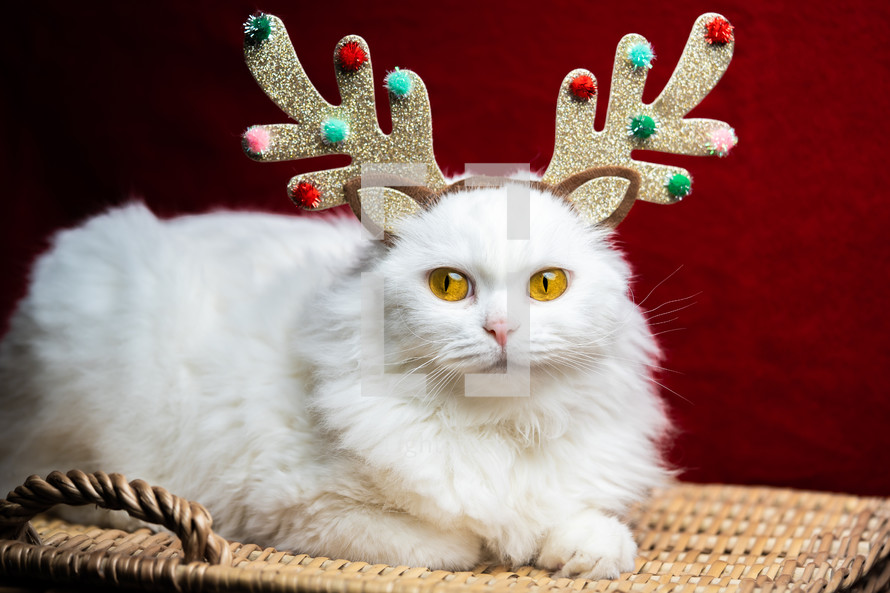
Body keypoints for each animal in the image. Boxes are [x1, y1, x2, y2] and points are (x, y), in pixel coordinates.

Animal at [0, 183, 664, 580]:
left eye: (547, 285)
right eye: (448, 285)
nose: (501, 328)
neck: (493, 426)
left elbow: (591, 529)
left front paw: (580, 551)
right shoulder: (296, 508)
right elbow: (449, 547)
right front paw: (490, 548)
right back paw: (125, 514)